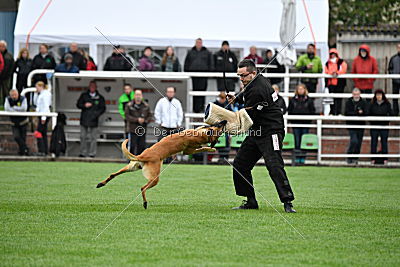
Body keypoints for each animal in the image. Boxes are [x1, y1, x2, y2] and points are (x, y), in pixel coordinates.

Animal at [95, 120, 227, 210]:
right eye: (220, 128)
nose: (224, 121)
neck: (202, 135)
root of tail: (143, 156)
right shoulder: (189, 148)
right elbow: (202, 147)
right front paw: (210, 147)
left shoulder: (190, 148)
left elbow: (203, 146)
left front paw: (210, 147)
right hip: (153, 178)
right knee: (142, 188)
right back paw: (145, 203)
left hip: (133, 168)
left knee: (114, 174)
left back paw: (101, 184)